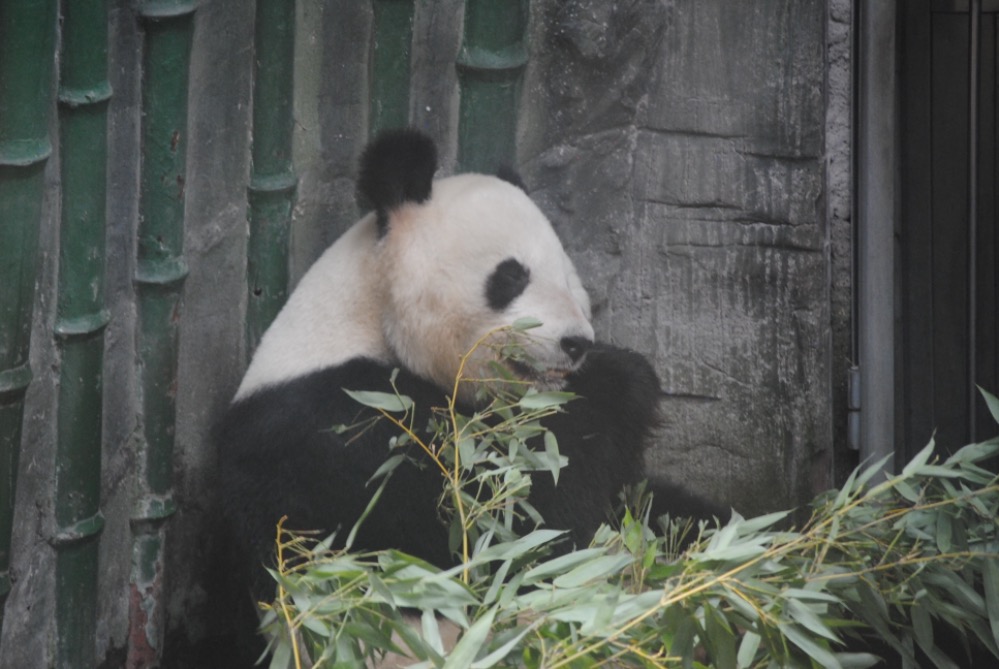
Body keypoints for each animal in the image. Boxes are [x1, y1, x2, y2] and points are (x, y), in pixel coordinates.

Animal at [215, 128, 724, 604]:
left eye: (568, 278)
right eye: (512, 276)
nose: (576, 343)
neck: (367, 317)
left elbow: (641, 499)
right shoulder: (341, 435)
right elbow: (507, 522)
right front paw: (618, 383)